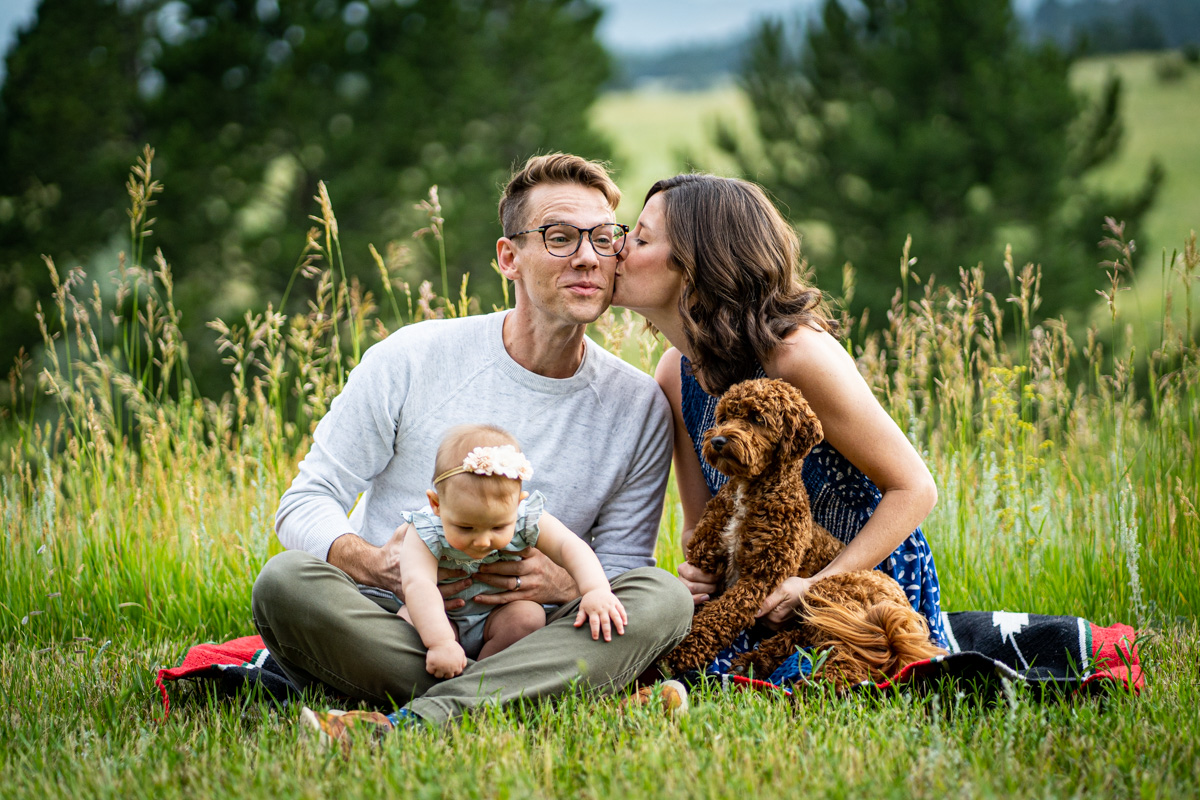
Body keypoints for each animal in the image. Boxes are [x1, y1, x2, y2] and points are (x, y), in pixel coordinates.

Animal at [667, 381, 945, 690]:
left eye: (757, 418)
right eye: (724, 417)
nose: (717, 441)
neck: (749, 492)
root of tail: (905, 609)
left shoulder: (758, 578)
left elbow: (720, 615)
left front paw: (682, 650)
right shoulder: (704, 559)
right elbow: (693, 604)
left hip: (831, 597)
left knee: (853, 660)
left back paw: (817, 688)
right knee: (806, 644)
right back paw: (755, 664)